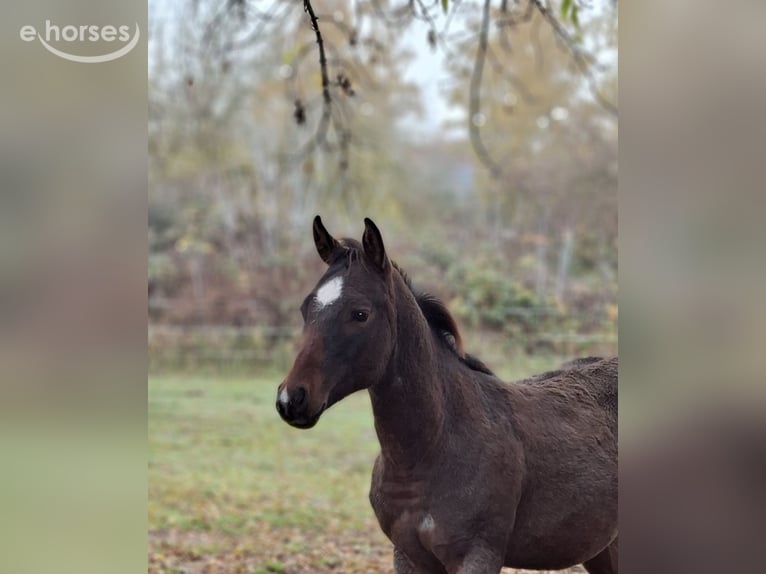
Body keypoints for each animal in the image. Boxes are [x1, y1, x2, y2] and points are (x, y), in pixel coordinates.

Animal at [276, 216, 618, 574]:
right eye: (305, 308)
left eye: (360, 313)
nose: (292, 399)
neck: (432, 446)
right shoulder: (407, 554)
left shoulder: (478, 555)